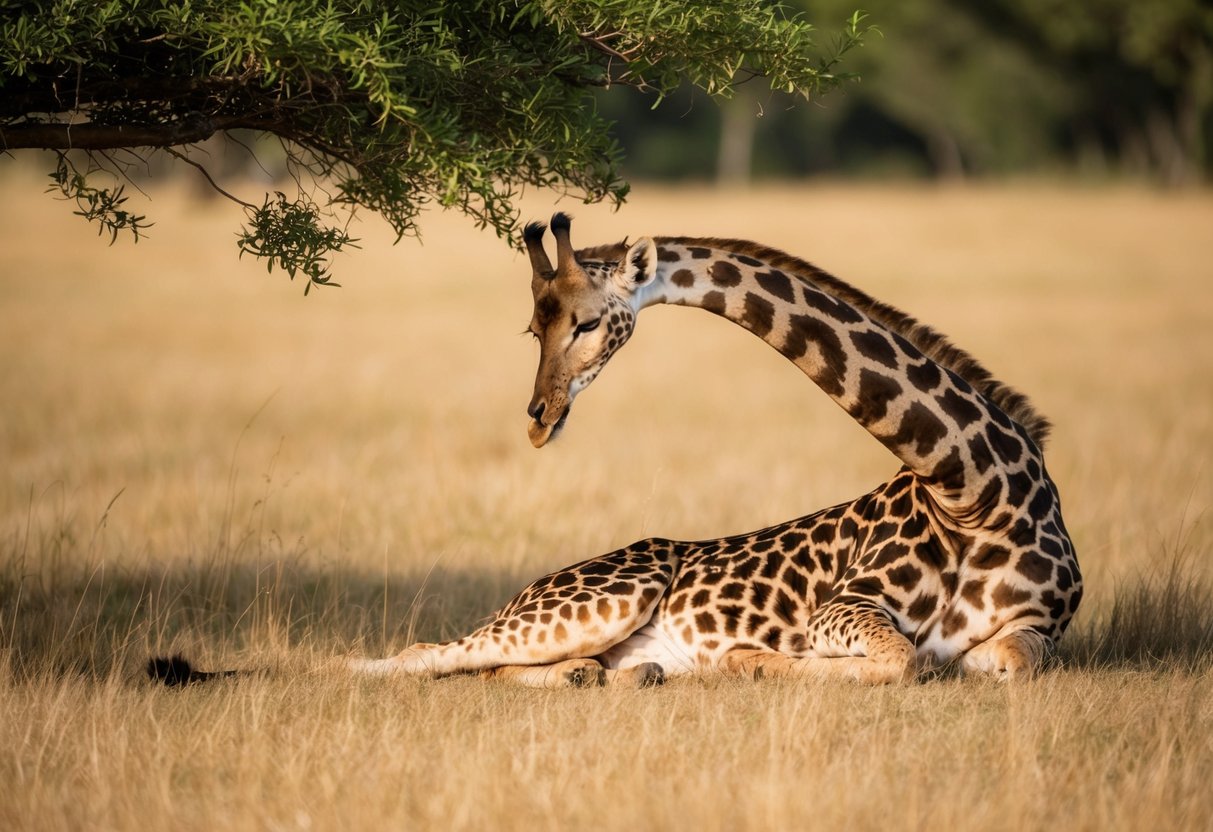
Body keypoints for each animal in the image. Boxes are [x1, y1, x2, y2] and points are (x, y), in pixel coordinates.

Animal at [349, 212, 1082, 687]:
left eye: (584, 323)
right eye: (533, 328)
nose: (538, 419)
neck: (975, 487)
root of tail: (526, 591)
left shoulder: (1038, 629)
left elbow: (1005, 664)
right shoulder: (839, 609)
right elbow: (903, 660)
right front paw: (745, 659)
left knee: (515, 666)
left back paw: (614, 674)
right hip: (598, 603)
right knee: (421, 654)